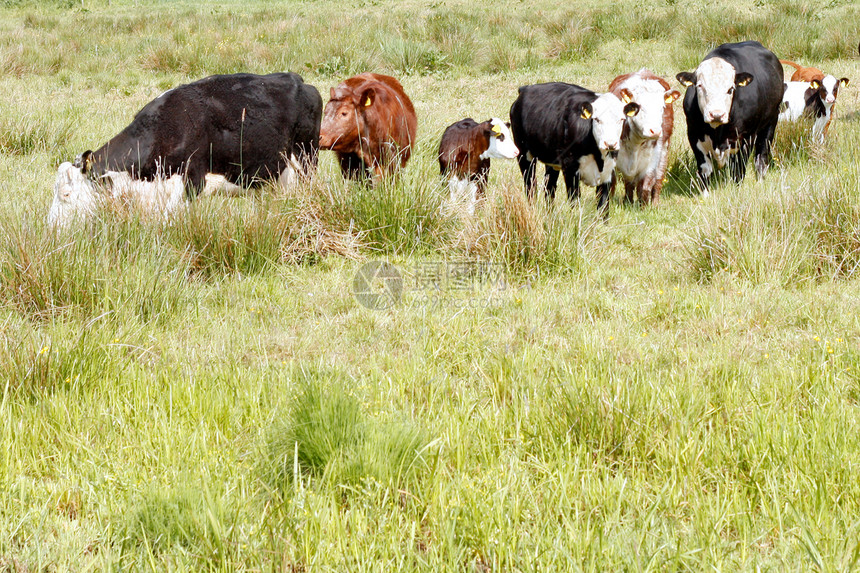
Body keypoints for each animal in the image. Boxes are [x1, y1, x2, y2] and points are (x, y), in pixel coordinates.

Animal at [510, 81, 640, 213]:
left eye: (621, 119)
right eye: (597, 119)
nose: (610, 143)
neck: (598, 157)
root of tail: (526, 88)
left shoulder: (608, 171)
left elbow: (603, 205)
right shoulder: (570, 168)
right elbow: (574, 200)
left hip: (552, 160)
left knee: (549, 187)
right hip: (523, 153)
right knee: (530, 185)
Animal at [604, 70, 680, 206]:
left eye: (662, 108)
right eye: (638, 108)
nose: (655, 131)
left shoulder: (651, 159)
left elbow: (644, 188)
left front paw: (643, 207)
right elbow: (611, 184)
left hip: (664, 151)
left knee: (658, 179)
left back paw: (654, 204)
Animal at [680, 40, 788, 192]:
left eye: (731, 89)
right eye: (700, 86)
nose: (716, 114)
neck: (717, 133)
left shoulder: (746, 137)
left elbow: (738, 170)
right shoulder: (694, 135)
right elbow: (705, 170)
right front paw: (706, 194)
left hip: (771, 122)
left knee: (761, 156)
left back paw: (760, 181)